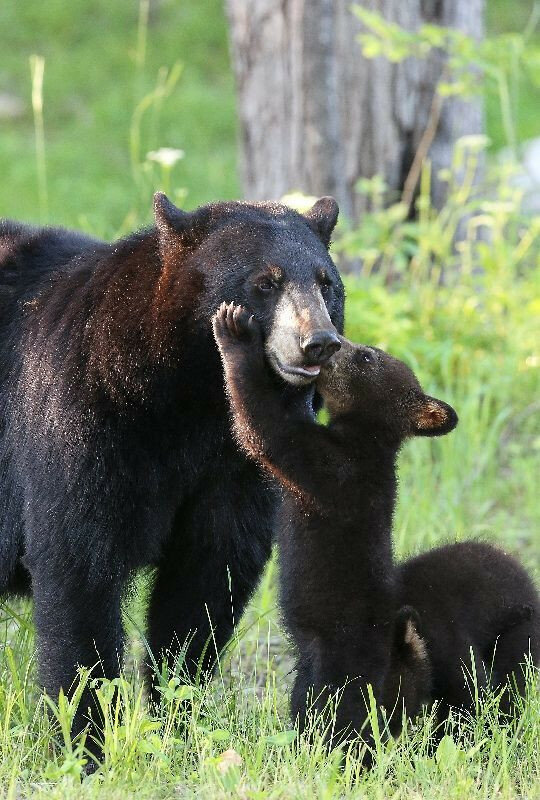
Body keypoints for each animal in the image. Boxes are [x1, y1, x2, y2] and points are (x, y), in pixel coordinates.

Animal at [0, 193, 344, 754]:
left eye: (326, 282)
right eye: (264, 282)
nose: (318, 342)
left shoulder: (231, 463)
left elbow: (207, 575)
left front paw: (178, 722)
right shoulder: (80, 416)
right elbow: (77, 563)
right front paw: (85, 740)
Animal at [212, 306, 539, 757]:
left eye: (366, 356)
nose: (331, 342)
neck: (365, 438)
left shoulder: (330, 467)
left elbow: (267, 429)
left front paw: (234, 333)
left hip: (344, 659)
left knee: (346, 715)